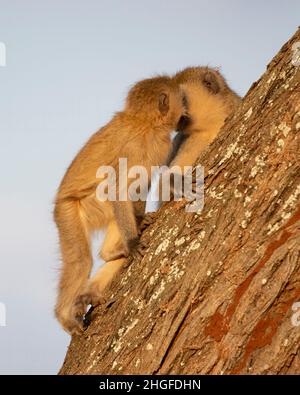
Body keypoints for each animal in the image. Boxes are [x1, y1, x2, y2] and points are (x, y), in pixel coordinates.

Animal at [54, 76, 185, 334]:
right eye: (181, 100)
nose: (185, 113)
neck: (145, 122)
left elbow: (140, 184)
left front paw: (140, 221)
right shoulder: (141, 146)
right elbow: (118, 188)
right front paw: (133, 242)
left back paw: (111, 251)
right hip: (68, 211)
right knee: (81, 260)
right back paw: (64, 317)